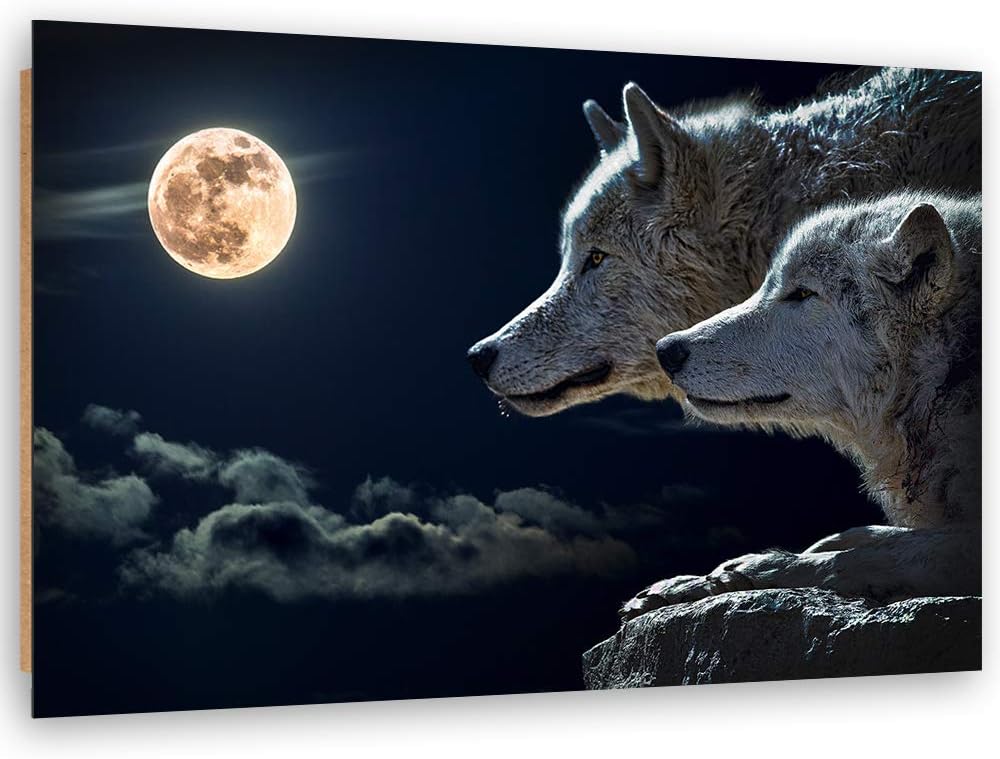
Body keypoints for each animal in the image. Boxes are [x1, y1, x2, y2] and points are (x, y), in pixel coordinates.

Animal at [619, 192, 981, 620]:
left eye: (803, 294)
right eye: (767, 285)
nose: (666, 350)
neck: (946, 377)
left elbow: (858, 558)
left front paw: (747, 571)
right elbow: (862, 536)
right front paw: (692, 582)